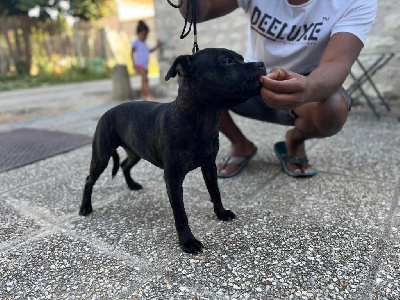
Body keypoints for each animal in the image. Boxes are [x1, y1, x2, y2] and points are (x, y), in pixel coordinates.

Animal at [79, 48, 266, 253]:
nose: (262, 64)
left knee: (124, 165)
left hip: (135, 152)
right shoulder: (173, 178)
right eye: (227, 61)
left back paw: (132, 185)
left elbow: (215, 193)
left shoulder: (209, 167)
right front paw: (188, 241)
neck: (198, 119)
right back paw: (85, 207)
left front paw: (221, 213)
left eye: (241, 58)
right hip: (101, 156)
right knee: (89, 179)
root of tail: (107, 112)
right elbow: (181, 213)